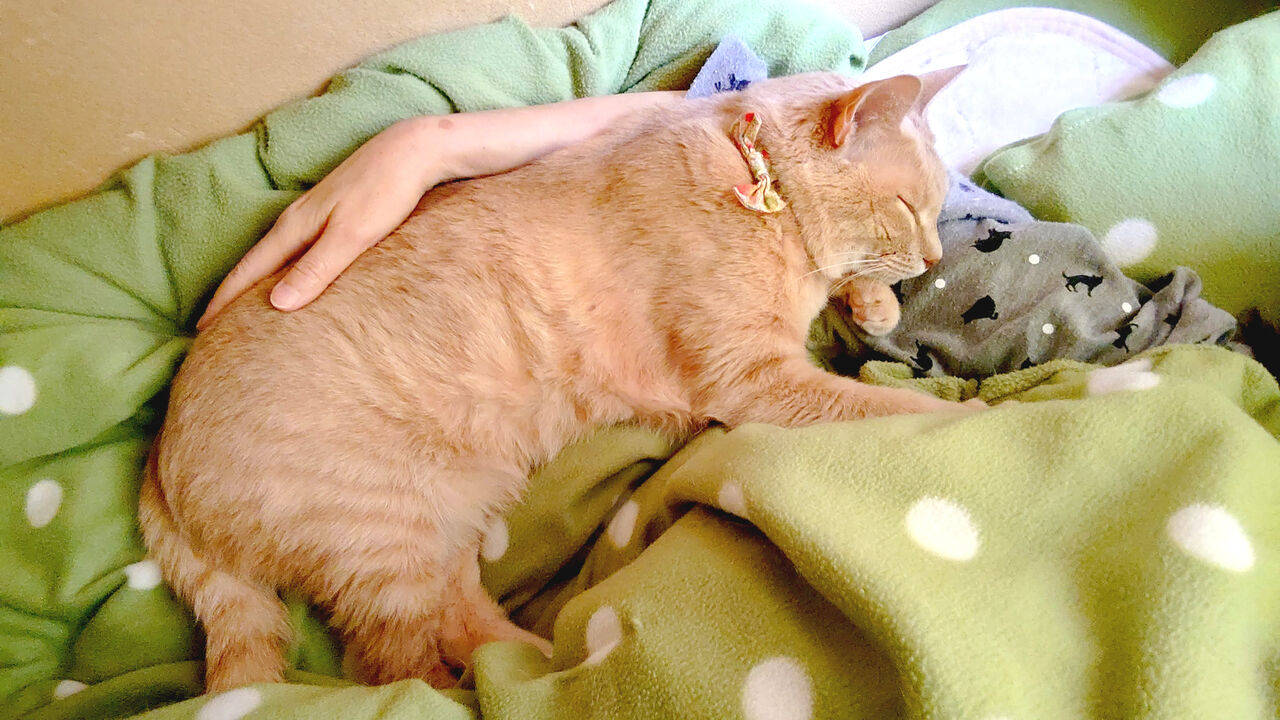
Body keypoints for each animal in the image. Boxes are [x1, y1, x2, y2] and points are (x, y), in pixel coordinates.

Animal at [139, 67, 971, 693]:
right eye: (908, 207)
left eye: (938, 210)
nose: (933, 258)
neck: (754, 183)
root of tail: (156, 458)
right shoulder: (754, 377)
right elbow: (870, 401)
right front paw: (952, 412)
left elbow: (850, 296)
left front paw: (873, 300)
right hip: (382, 539)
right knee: (392, 666)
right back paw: (493, 687)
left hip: (446, 519)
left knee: (455, 619)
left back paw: (536, 657)